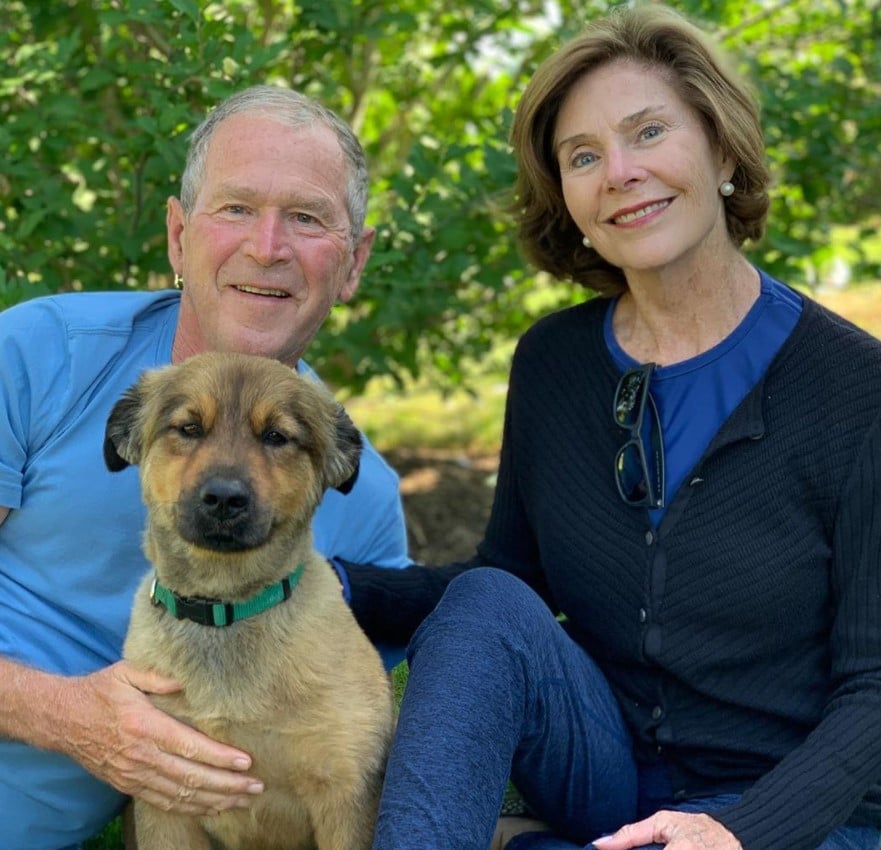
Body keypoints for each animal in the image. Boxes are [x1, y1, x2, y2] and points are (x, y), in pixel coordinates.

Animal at [102, 350, 392, 848]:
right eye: (189, 428)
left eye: (276, 436)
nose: (223, 498)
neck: (226, 610)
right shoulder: (165, 802)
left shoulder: (345, 793)